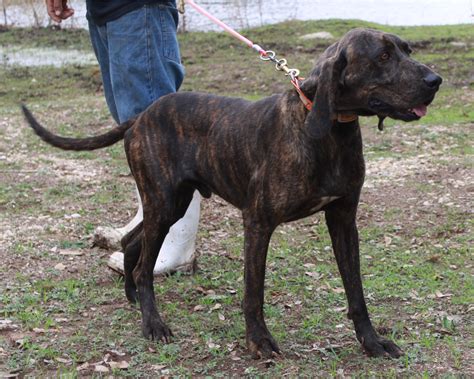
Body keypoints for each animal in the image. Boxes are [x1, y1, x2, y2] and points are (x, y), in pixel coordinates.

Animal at [22, 29, 442, 360]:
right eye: (383, 57)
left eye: (406, 49)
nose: (435, 79)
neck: (327, 129)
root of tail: (142, 115)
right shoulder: (258, 223)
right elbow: (253, 292)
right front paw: (258, 342)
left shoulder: (343, 219)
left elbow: (356, 291)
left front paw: (371, 343)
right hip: (163, 202)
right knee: (143, 265)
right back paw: (153, 323)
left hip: (171, 205)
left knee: (131, 242)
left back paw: (134, 298)